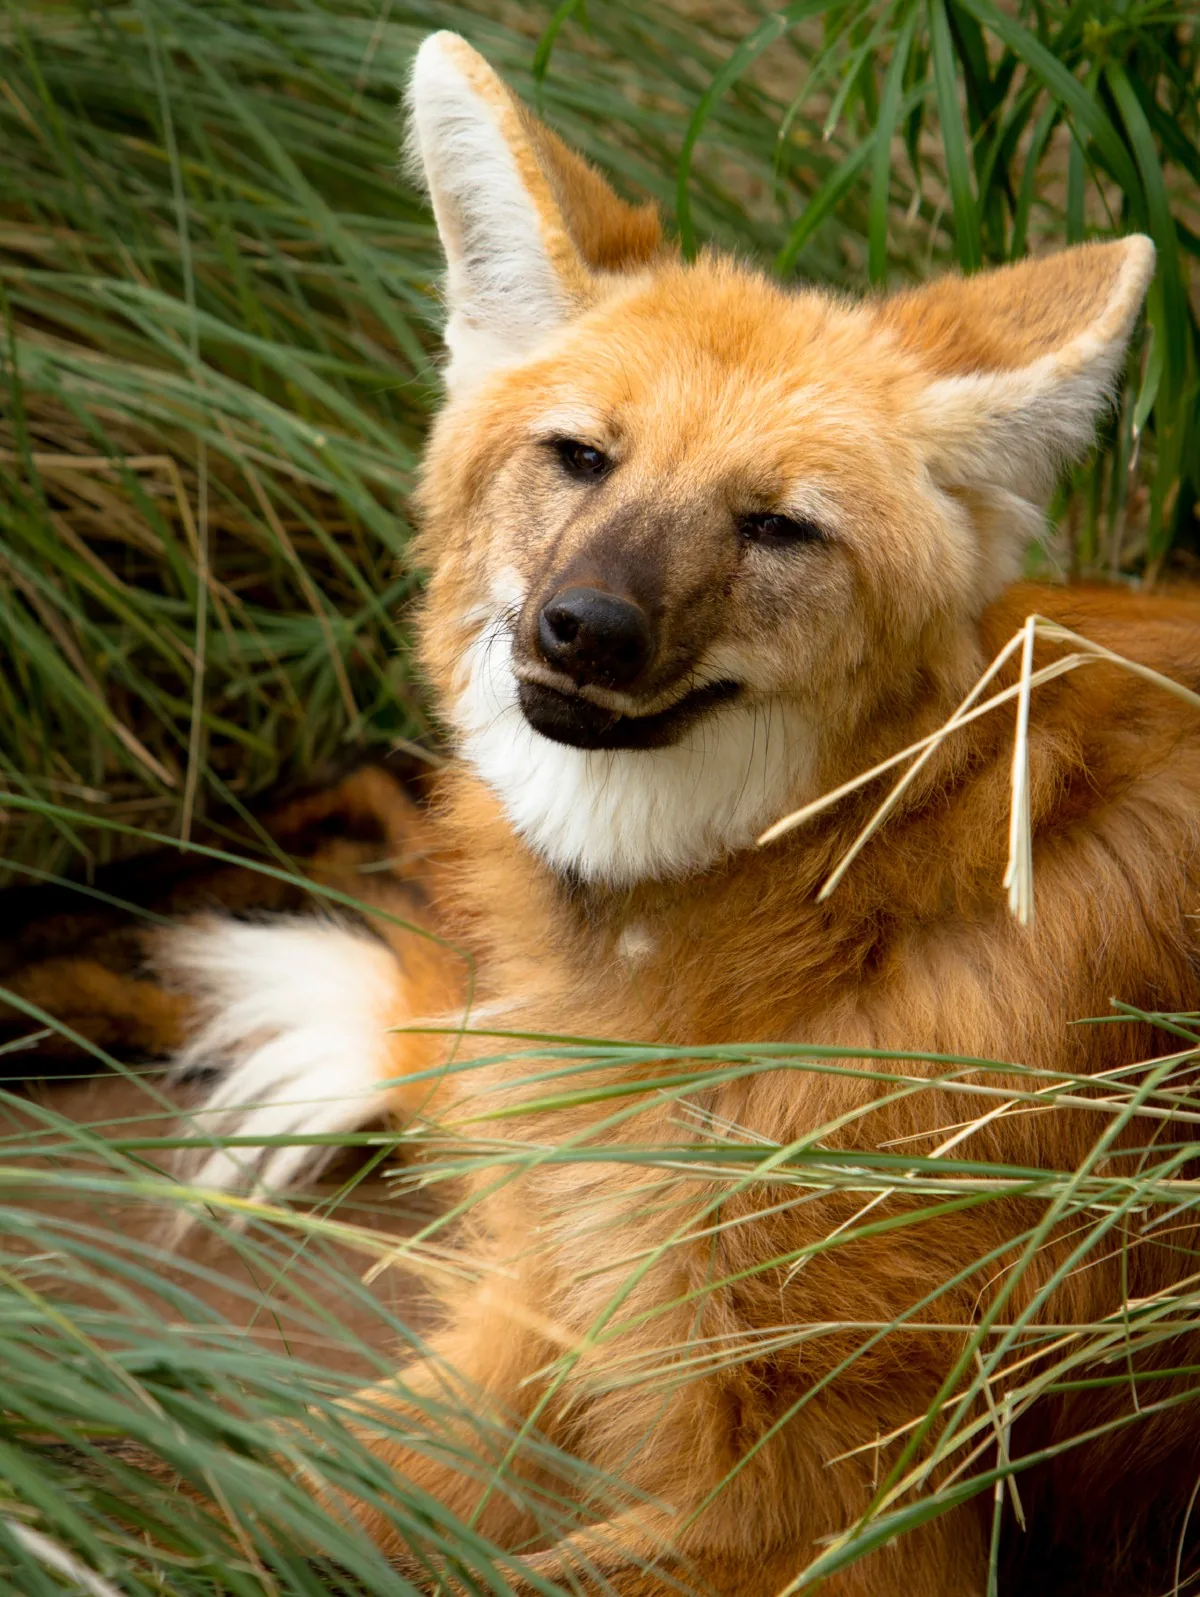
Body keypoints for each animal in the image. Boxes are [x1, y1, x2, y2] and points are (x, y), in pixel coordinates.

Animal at [10, 29, 1200, 1597]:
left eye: (778, 525)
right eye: (583, 457)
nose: (585, 629)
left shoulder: (831, 1502)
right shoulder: (555, 1308)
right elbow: (263, 1493)